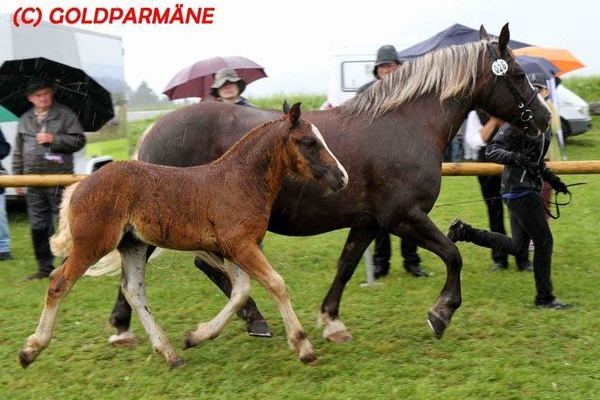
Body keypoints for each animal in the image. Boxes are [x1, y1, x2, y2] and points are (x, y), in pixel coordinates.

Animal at [19, 101, 346, 368]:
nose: (341, 177)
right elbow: (276, 284)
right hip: (93, 244)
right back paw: (30, 350)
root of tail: (80, 185)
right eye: (309, 141)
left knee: (134, 290)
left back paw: (170, 353)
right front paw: (303, 347)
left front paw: (196, 336)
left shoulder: (234, 250)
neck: (240, 180)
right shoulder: (241, 246)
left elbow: (240, 293)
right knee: (59, 282)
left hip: (133, 245)